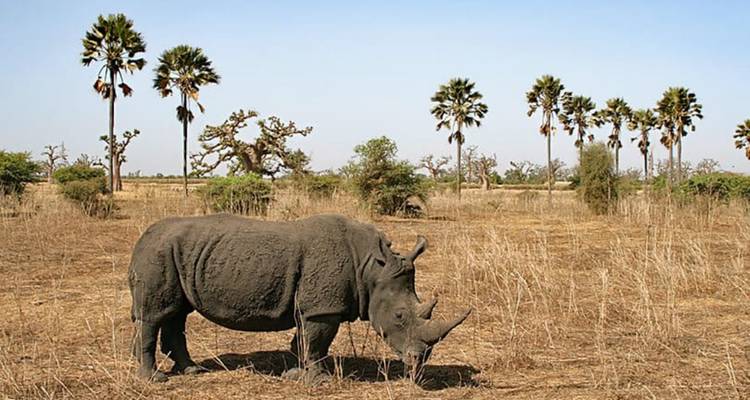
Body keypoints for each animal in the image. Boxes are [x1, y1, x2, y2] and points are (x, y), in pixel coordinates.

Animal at [128, 213, 470, 384]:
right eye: (400, 316)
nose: (420, 360)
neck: (371, 268)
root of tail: (142, 237)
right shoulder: (323, 309)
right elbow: (317, 342)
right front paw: (319, 382)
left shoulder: (313, 307)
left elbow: (304, 341)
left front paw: (295, 375)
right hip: (159, 253)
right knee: (154, 315)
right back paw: (155, 380)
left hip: (175, 254)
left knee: (176, 312)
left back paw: (192, 371)